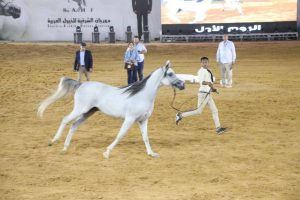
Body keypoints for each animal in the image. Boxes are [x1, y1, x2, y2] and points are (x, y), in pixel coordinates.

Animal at [37, 61, 185, 159]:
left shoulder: (143, 120)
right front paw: (107, 152)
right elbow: (120, 135)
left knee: (74, 125)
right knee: (65, 120)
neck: (142, 95)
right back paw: (53, 141)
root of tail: (81, 84)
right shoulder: (129, 119)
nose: (182, 85)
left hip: (88, 112)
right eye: (170, 74)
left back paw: (64, 148)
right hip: (80, 109)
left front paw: (151, 153)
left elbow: (146, 137)